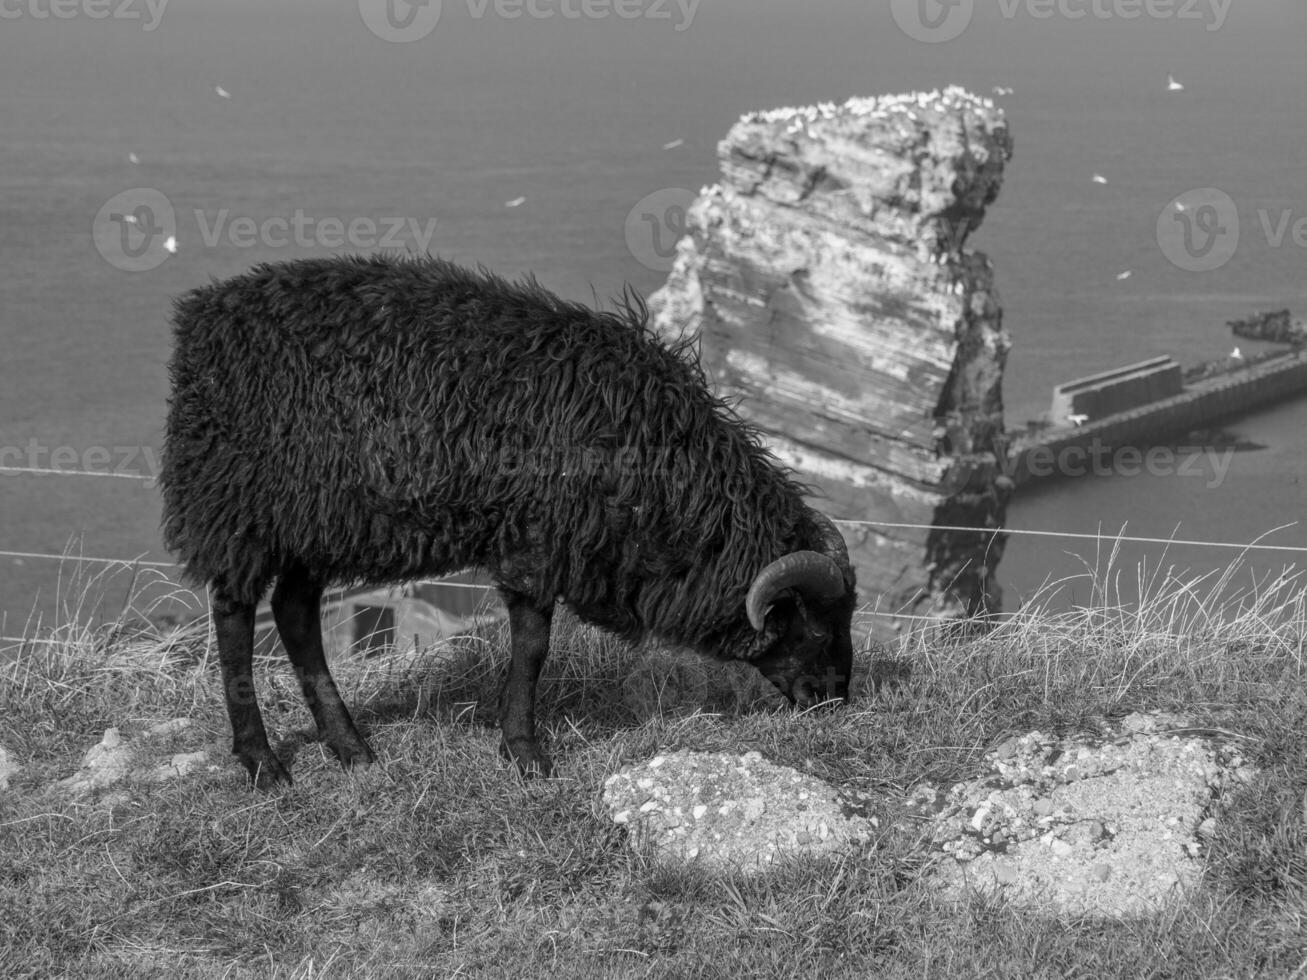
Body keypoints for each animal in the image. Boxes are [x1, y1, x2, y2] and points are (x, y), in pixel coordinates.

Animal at [160, 254, 857, 789]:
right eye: (818, 629)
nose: (836, 702)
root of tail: (201, 320)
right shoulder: (537, 540)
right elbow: (533, 646)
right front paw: (525, 752)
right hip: (242, 507)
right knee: (234, 617)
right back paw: (262, 763)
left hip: (316, 521)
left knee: (296, 613)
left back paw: (351, 748)